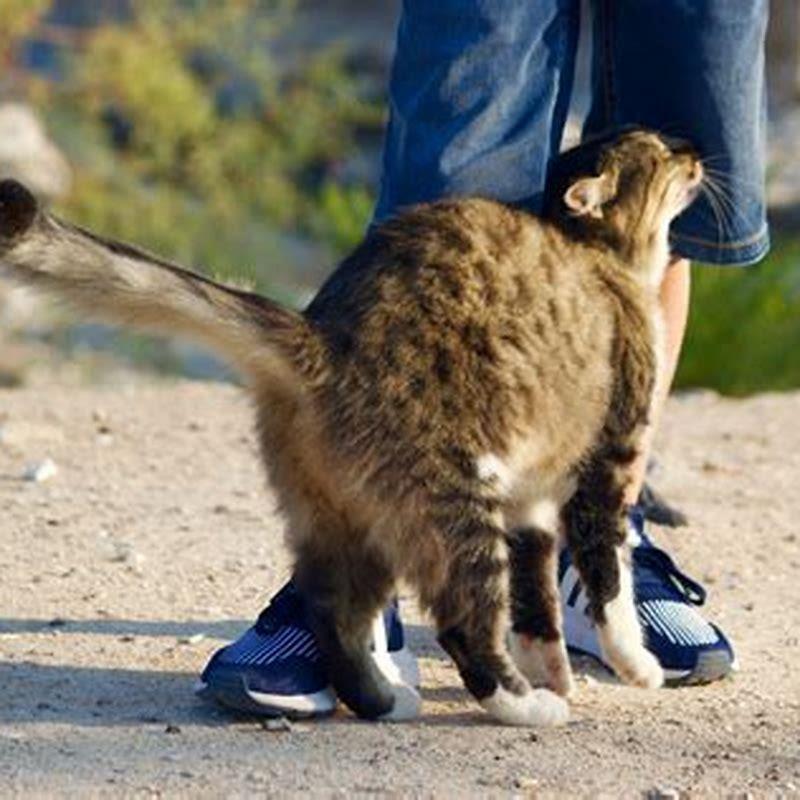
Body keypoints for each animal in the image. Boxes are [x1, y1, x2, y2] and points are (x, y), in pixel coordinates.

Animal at [0, 130, 700, 724]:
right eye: (662, 150)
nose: (696, 150)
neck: (600, 259)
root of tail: (322, 339)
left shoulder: (529, 500)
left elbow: (536, 605)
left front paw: (553, 667)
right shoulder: (606, 464)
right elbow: (607, 577)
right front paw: (633, 665)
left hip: (347, 522)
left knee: (333, 616)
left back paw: (384, 699)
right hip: (453, 509)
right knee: (463, 625)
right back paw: (524, 706)